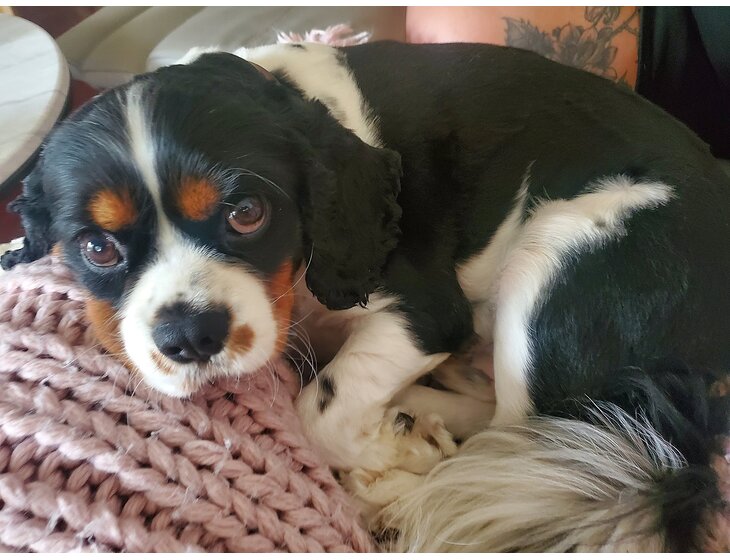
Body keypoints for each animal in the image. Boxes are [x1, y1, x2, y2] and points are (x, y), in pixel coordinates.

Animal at [2, 41, 728, 551]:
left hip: (560, 250)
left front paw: (389, 459)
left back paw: (406, 492)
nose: (189, 337)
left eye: (246, 213)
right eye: (98, 248)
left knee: (522, 443)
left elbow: (316, 413)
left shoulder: (426, 313)